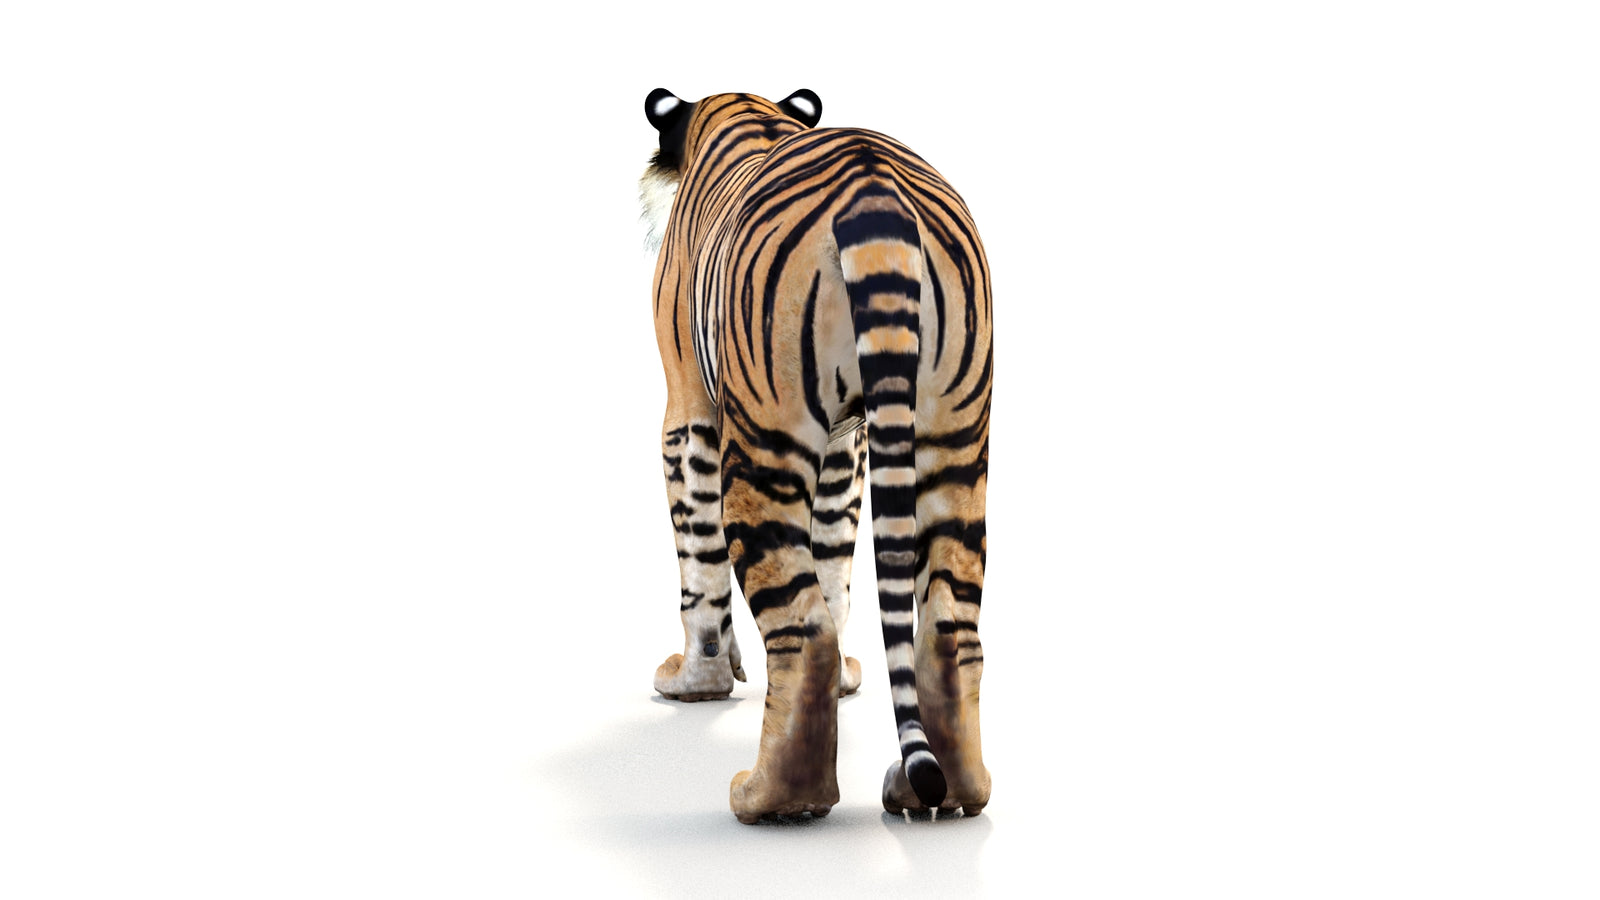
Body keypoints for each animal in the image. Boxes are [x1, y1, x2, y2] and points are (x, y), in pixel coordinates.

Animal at [640, 88, 993, 824]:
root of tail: (877, 189)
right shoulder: (846, 439)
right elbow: (835, 563)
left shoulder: (687, 408)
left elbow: (699, 561)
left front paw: (697, 681)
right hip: (955, 436)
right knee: (950, 627)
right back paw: (945, 795)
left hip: (764, 439)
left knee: (804, 632)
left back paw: (772, 800)